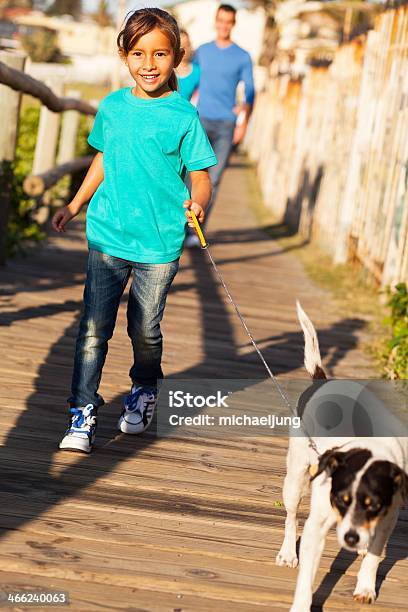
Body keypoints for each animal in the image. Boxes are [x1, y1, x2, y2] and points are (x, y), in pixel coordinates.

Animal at [276, 304, 406, 612]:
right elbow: (306, 579)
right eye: (341, 499)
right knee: (290, 516)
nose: (351, 537)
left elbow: (375, 553)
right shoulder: (316, 528)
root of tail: (322, 380)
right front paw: (301, 605)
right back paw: (288, 553)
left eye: (374, 504)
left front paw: (366, 586)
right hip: (295, 479)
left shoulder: (388, 517)